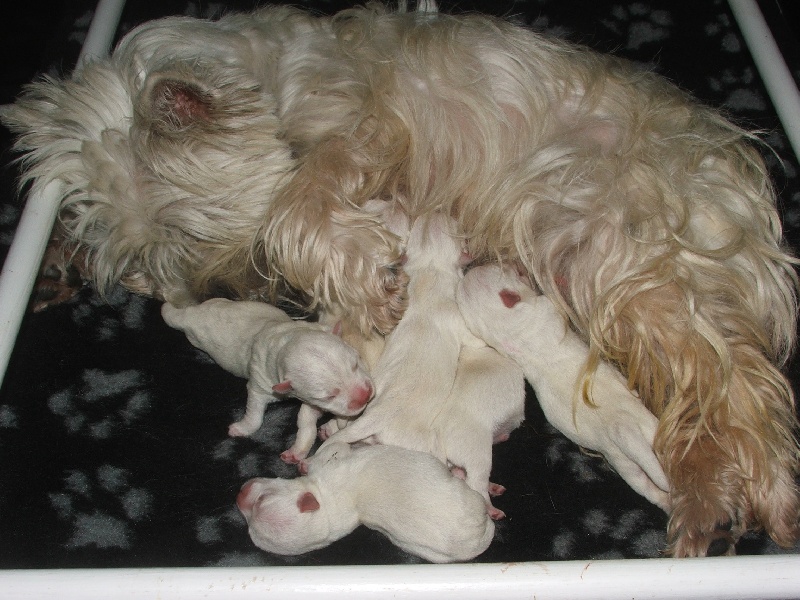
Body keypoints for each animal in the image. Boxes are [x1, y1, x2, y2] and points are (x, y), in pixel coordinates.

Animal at [163, 300, 376, 464]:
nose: (365, 396)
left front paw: (298, 449)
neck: (289, 338)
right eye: (328, 395)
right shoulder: (261, 382)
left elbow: (306, 418)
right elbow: (255, 410)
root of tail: (191, 312)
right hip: (195, 336)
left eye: (355, 363)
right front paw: (241, 428)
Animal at [234, 440, 494, 564]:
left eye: (261, 500)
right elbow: (336, 448)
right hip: (469, 497)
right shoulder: (332, 465)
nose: (239, 496)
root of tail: (478, 539)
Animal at [316, 211, 528, 516]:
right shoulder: (458, 316)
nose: (438, 210)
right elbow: (475, 339)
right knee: (467, 474)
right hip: (430, 446)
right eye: (455, 226)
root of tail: (375, 416)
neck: (430, 268)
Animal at [456, 266, 668, 510]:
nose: (517, 267)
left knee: (649, 488)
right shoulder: (549, 307)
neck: (512, 331)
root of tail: (621, 427)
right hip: (644, 435)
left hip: (625, 461)